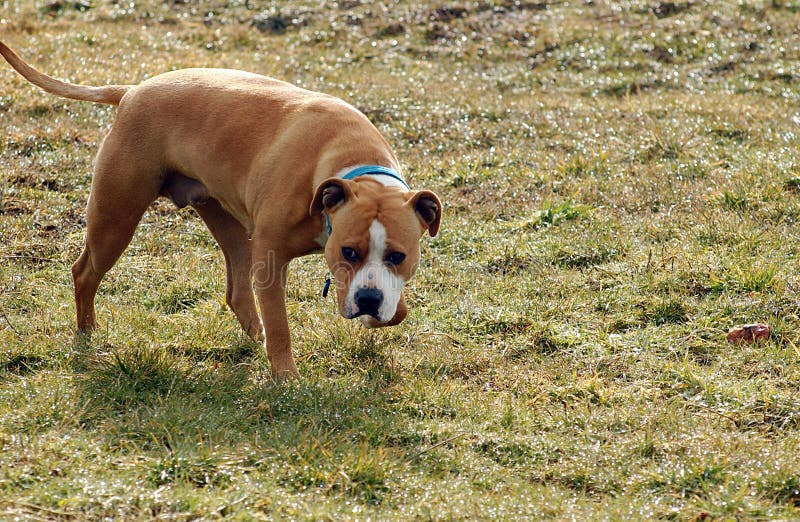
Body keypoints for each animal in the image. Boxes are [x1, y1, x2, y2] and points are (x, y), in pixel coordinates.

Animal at [0, 40, 440, 378]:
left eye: (398, 256)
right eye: (348, 251)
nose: (367, 299)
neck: (350, 161)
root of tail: (131, 91)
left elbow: (395, 308)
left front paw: (380, 312)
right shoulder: (270, 254)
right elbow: (281, 325)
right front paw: (287, 378)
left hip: (229, 226)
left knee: (236, 291)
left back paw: (254, 335)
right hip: (116, 216)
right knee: (85, 271)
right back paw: (88, 332)